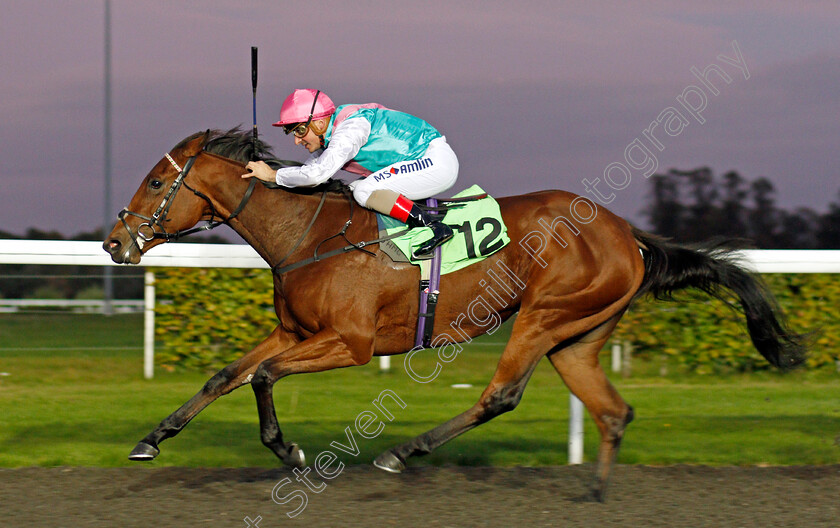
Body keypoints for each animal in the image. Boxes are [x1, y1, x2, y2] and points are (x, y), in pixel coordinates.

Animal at [105, 128, 808, 500]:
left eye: (154, 182)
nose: (114, 243)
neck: (310, 234)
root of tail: (627, 232)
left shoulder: (349, 341)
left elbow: (263, 378)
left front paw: (292, 453)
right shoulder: (294, 330)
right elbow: (227, 375)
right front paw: (150, 440)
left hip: (544, 315)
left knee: (502, 394)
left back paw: (403, 451)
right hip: (577, 335)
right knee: (613, 411)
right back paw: (596, 492)